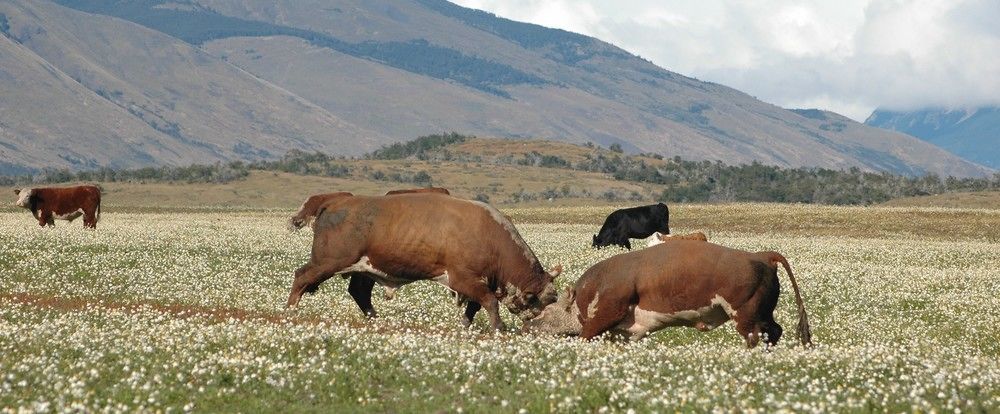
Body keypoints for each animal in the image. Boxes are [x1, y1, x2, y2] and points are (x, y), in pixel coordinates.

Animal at [288, 192, 564, 332]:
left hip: (362, 269)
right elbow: (489, 302)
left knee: (359, 292)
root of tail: (335, 200)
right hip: (328, 262)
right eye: (538, 301)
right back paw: (290, 311)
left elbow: (475, 306)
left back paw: (376, 319)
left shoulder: (475, 282)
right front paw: (499, 328)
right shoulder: (463, 279)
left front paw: (465, 325)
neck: (490, 236)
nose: (536, 324)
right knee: (301, 276)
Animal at [524, 239, 812, 350]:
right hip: (764, 314)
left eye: (546, 311)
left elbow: (587, 333)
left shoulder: (603, 317)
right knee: (774, 331)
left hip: (746, 317)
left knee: (756, 336)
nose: (526, 327)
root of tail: (762, 256)